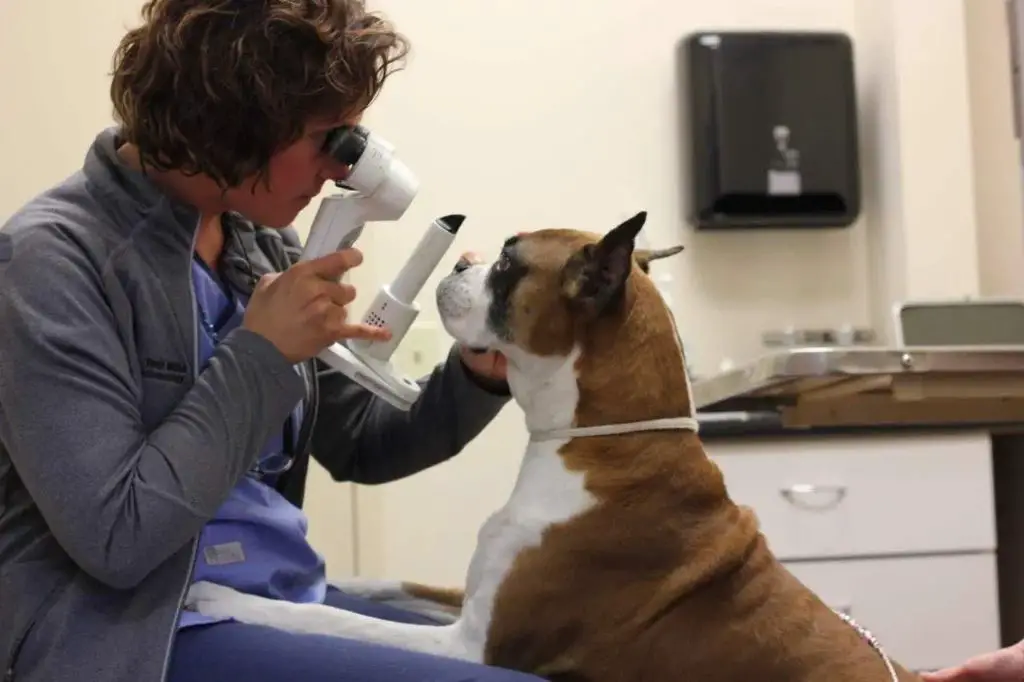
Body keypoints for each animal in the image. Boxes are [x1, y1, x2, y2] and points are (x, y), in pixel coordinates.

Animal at [184, 212, 921, 679]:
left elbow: (335, 623)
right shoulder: (471, 597)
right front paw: (338, 579)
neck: (599, 446)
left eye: (509, 263)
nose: (463, 259)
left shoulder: (469, 647)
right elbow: (386, 585)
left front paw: (232, 602)